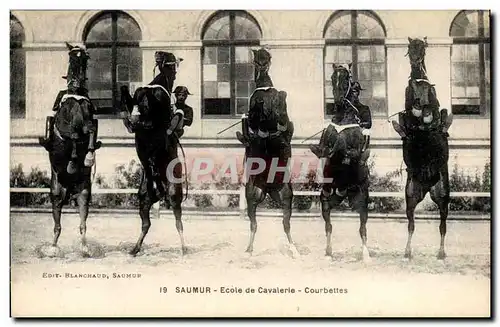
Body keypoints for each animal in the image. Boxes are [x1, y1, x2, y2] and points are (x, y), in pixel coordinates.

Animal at [40, 43, 100, 254]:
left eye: (85, 57)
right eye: (72, 55)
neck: (76, 97)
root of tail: (69, 190)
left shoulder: (89, 121)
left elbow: (89, 130)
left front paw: (88, 156)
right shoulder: (66, 127)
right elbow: (73, 135)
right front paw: (76, 159)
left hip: (83, 193)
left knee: (82, 223)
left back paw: (84, 247)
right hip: (56, 194)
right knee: (57, 225)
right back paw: (52, 248)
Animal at [120, 51, 187, 258]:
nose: (158, 54)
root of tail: (160, 190)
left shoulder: (156, 118)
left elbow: (150, 119)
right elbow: (128, 97)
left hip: (174, 193)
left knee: (178, 221)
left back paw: (184, 248)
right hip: (144, 198)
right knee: (146, 224)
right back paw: (134, 249)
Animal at [235, 48, 296, 258]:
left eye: (267, 59)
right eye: (257, 60)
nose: (262, 66)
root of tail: (269, 189)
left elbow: (283, 119)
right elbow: (255, 120)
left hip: (285, 196)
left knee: (286, 224)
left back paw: (294, 250)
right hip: (253, 196)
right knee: (254, 224)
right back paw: (248, 250)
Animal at [316, 64, 372, 262]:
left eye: (347, 78)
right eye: (333, 77)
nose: (339, 101)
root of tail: (345, 192)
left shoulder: (353, 145)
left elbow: (347, 147)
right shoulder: (327, 140)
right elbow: (325, 147)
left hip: (362, 203)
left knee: (362, 228)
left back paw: (366, 255)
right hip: (327, 199)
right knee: (329, 225)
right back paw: (328, 253)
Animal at [392, 37, 456, 260]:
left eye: (423, 49)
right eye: (410, 48)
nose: (415, 63)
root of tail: (428, 186)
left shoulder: (434, 109)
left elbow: (433, 112)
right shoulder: (408, 106)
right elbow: (410, 113)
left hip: (443, 196)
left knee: (443, 225)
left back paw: (442, 252)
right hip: (411, 195)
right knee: (411, 224)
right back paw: (407, 251)